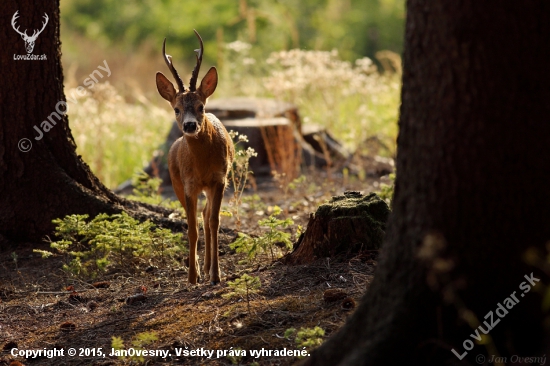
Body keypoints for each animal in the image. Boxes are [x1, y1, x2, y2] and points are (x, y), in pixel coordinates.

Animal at [155, 30, 235, 284]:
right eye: (176, 109)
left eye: (201, 107)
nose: (190, 125)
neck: (202, 164)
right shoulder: (189, 184)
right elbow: (191, 228)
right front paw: (192, 276)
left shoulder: (219, 179)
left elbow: (214, 222)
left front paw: (216, 275)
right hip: (176, 183)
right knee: (198, 218)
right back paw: (201, 268)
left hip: (211, 185)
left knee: (206, 216)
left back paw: (209, 268)